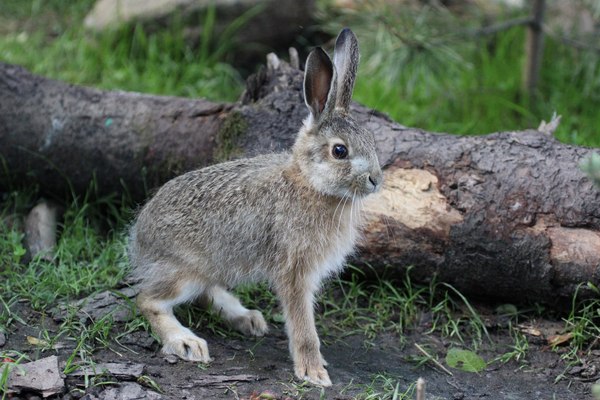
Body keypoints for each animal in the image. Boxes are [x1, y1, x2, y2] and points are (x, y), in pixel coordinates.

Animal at [129, 26, 384, 386]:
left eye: (372, 142)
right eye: (339, 151)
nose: (376, 179)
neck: (309, 183)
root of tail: (138, 238)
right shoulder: (294, 271)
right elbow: (303, 326)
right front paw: (313, 372)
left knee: (206, 293)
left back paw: (246, 318)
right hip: (184, 271)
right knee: (148, 299)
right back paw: (187, 342)